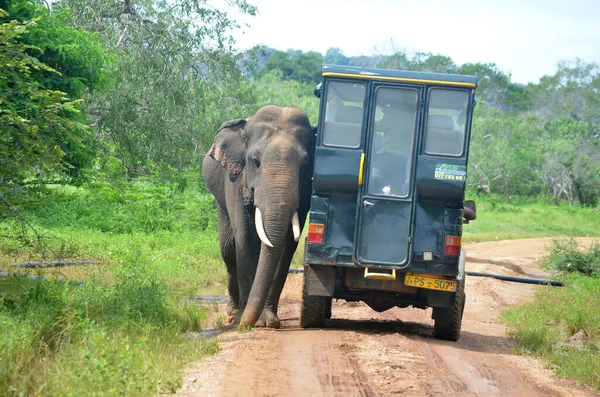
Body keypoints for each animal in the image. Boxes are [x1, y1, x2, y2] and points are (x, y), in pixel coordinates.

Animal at [200, 105, 314, 328]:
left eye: (305, 165)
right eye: (255, 161)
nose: (246, 325)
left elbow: (287, 245)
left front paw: (269, 321)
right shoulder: (237, 180)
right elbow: (245, 238)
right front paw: (246, 320)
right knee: (228, 251)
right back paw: (233, 312)